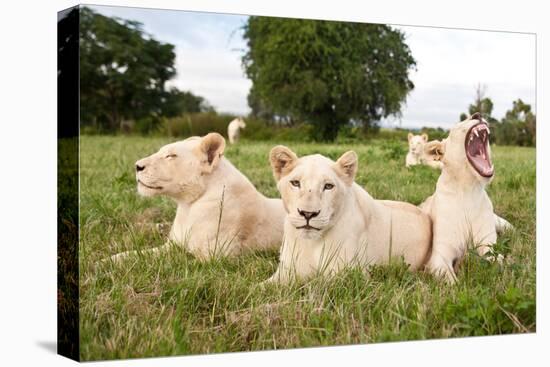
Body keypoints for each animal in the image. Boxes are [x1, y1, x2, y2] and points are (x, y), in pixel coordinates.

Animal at [110, 132, 286, 262]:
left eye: (171, 156)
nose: (137, 166)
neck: (187, 206)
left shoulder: (215, 257)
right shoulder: (172, 245)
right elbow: (137, 253)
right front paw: (109, 261)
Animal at [268, 145, 436, 284]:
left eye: (328, 186)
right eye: (295, 183)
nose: (308, 214)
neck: (312, 243)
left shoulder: (348, 276)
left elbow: (315, 284)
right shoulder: (285, 271)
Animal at [422, 113, 512, 284]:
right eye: (457, 125)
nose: (478, 114)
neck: (468, 189)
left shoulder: (488, 247)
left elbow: (501, 262)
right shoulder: (439, 257)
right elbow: (453, 283)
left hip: (504, 225)